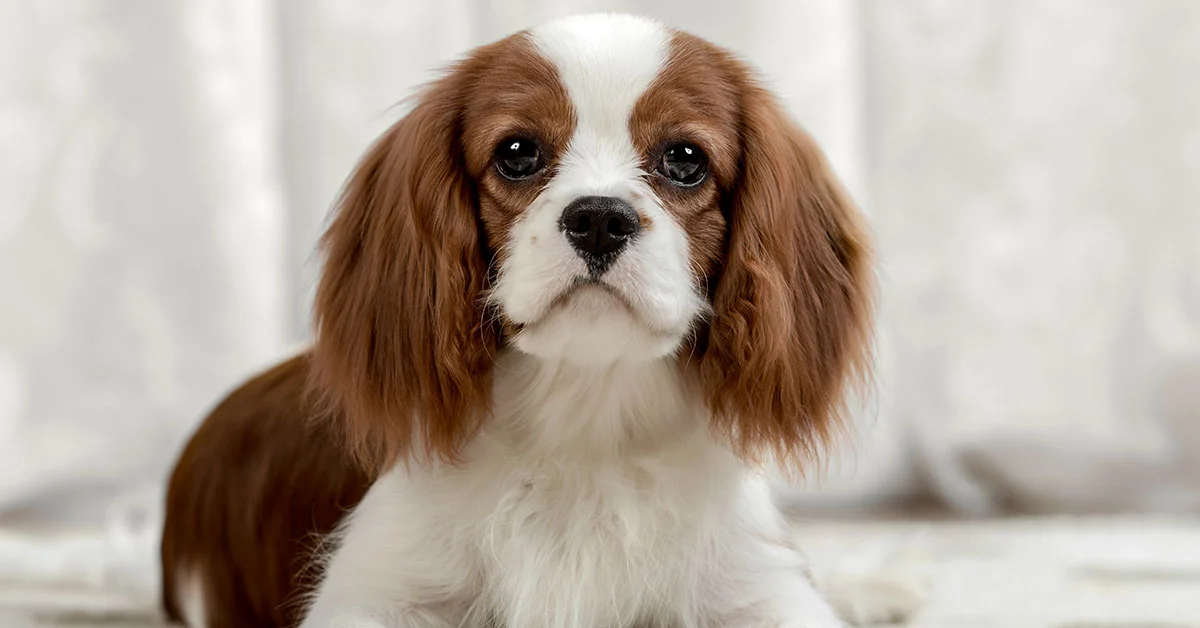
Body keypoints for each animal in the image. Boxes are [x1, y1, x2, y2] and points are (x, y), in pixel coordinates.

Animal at [159, 14, 873, 628]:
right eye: (519, 152)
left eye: (685, 159)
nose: (598, 218)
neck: (584, 421)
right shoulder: (376, 592)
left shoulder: (759, 586)